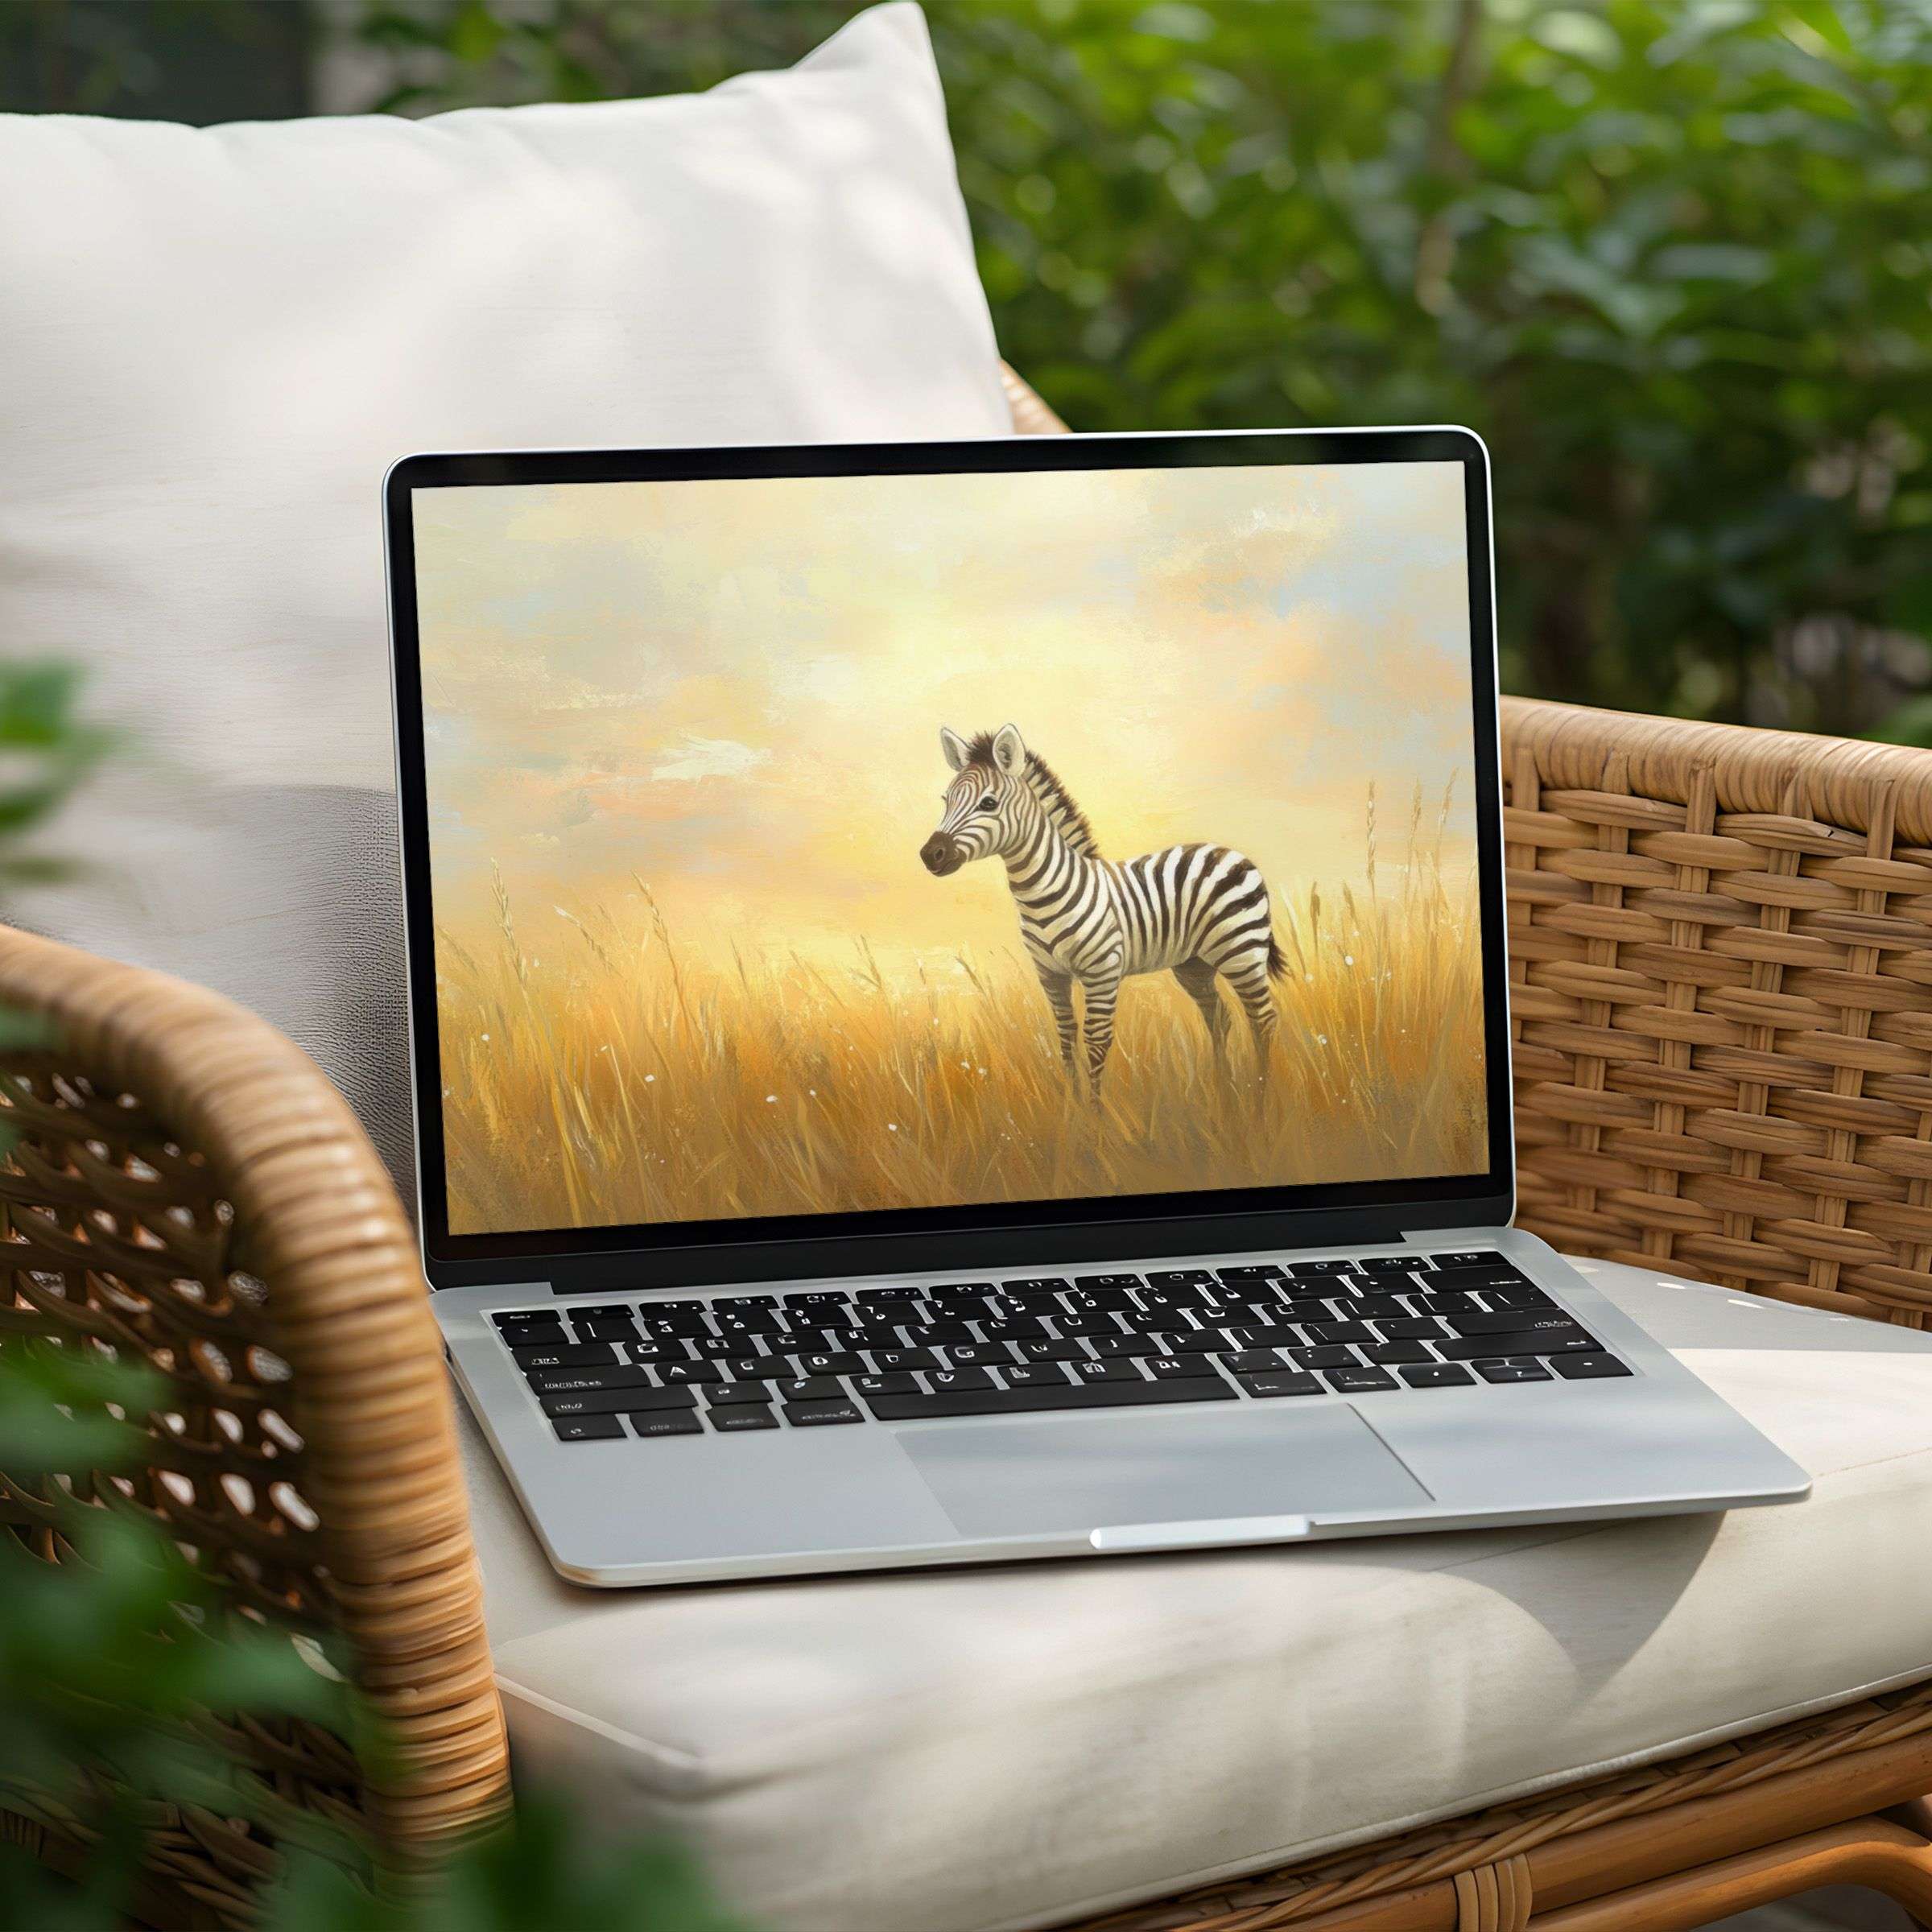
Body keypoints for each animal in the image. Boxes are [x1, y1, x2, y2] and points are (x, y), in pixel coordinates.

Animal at [919, 723, 1287, 1093]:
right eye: (946, 800)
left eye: (989, 803)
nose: (930, 855)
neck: (1043, 894)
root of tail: (1231, 852)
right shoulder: (1050, 975)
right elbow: (1066, 1039)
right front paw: (1074, 1105)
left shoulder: (1102, 973)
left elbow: (1096, 1044)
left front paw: (1096, 1109)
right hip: (1193, 965)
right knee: (1220, 1018)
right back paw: (1225, 1094)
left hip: (1242, 951)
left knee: (1263, 1019)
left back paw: (1260, 1098)